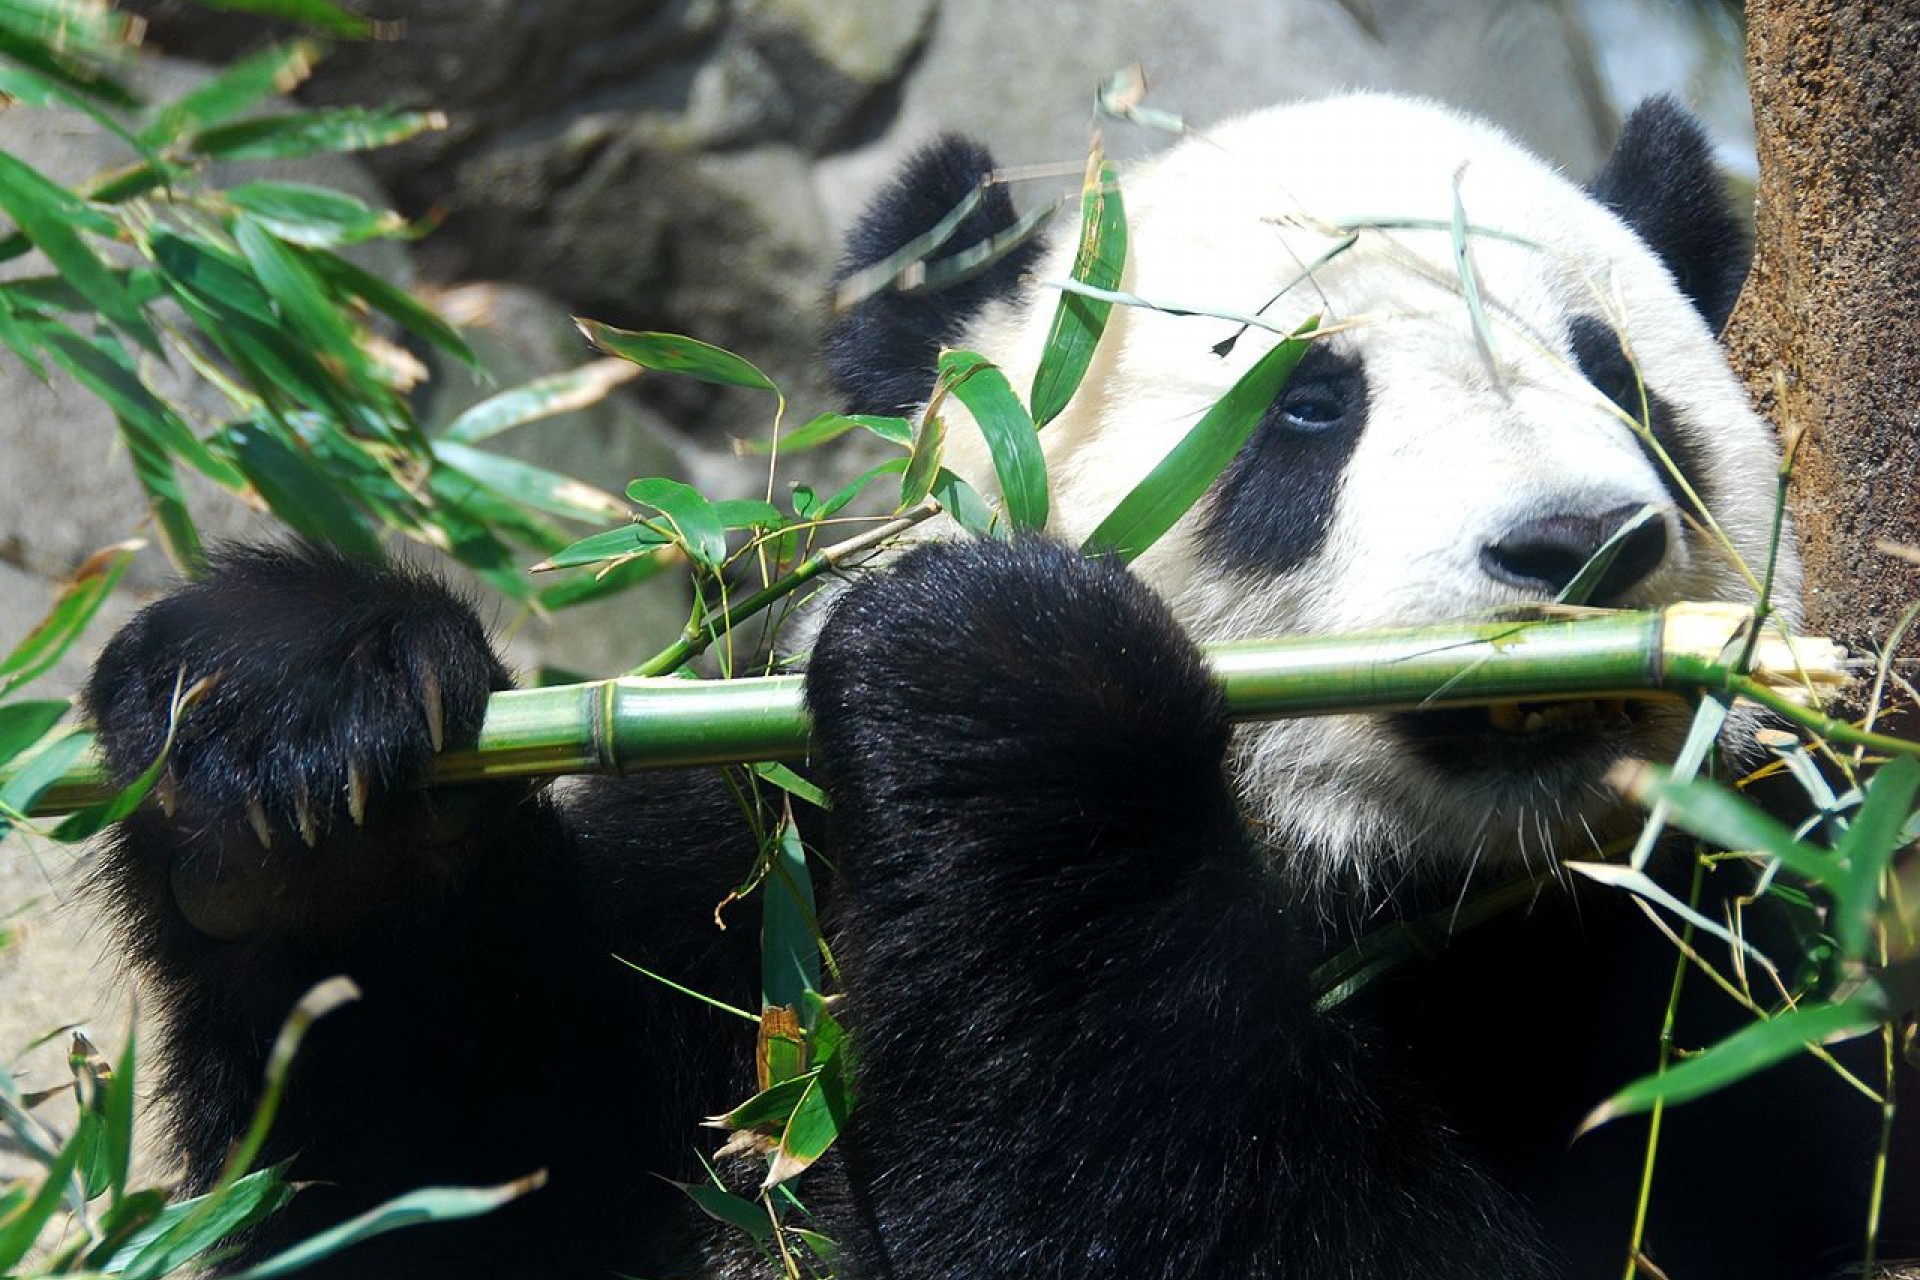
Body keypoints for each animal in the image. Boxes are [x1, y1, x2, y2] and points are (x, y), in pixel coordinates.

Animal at [82, 93, 1910, 1280]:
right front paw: (294, 750)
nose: (1578, 547)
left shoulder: (1754, 977)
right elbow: (463, 1175)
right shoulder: (757, 910)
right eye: (1309, 407)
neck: (1387, 896)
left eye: (1624, 385)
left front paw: (1018, 693)